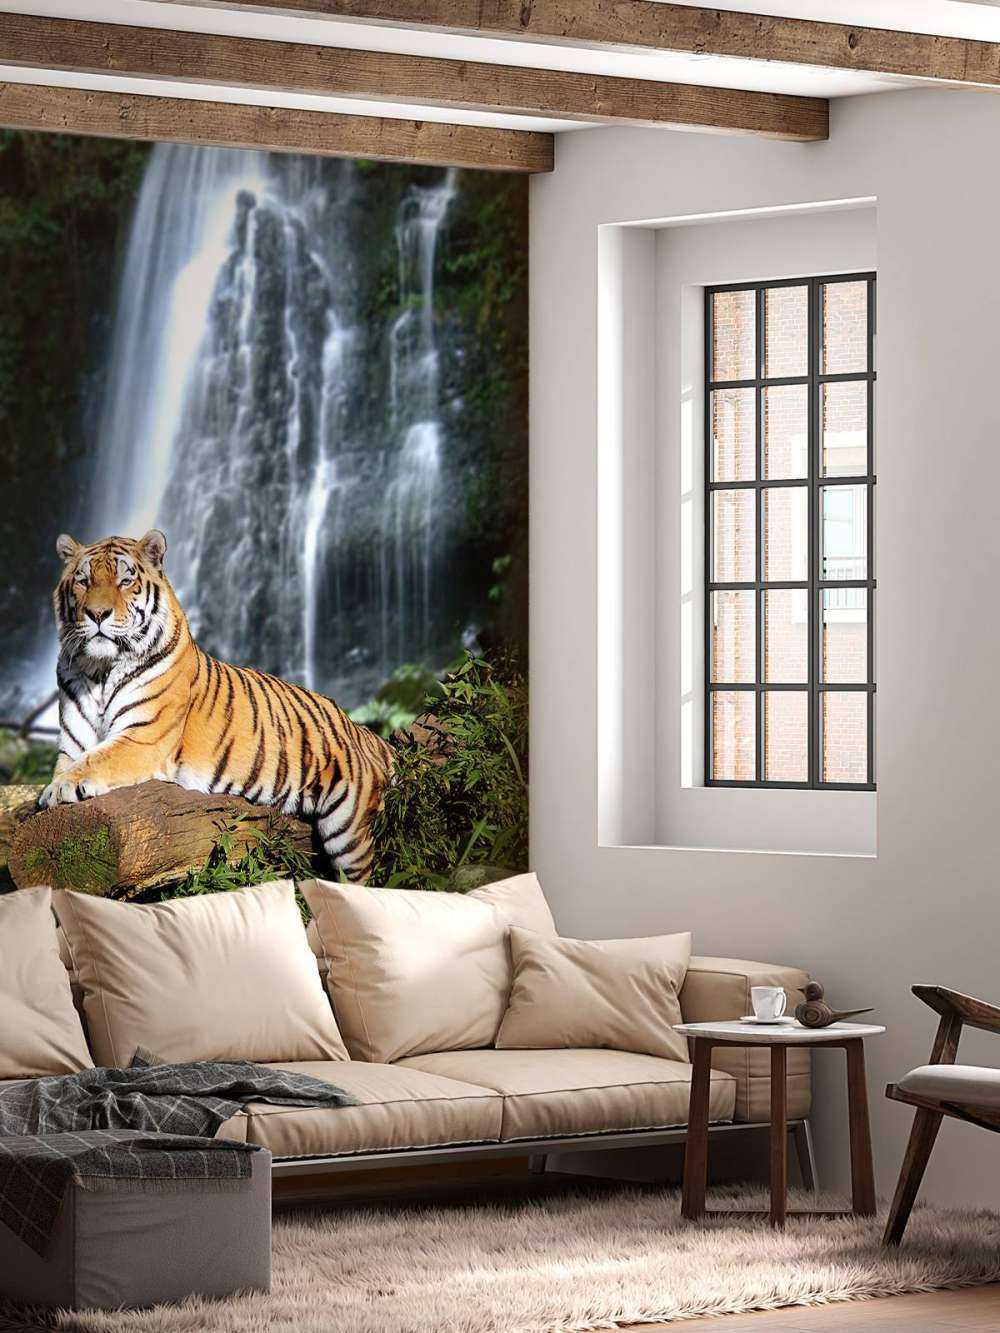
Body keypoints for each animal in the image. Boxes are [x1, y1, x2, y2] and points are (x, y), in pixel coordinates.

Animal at [40, 529, 395, 884]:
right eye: (83, 581)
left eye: (125, 581)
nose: (98, 614)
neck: (99, 669)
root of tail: (364, 731)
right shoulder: (72, 745)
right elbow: (78, 760)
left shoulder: (143, 737)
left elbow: (94, 761)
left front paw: (55, 790)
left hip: (348, 829)